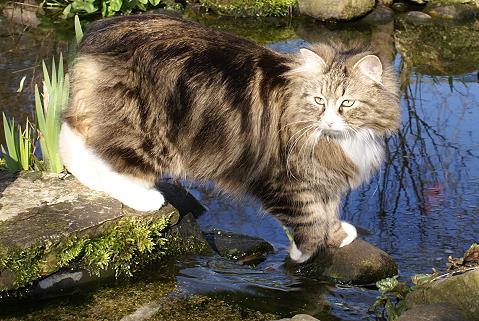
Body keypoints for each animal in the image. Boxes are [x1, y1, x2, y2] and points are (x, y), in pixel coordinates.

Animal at [58, 13, 400, 262]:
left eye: (347, 104)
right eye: (319, 101)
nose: (328, 120)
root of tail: (100, 31)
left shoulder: (323, 177)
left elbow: (328, 210)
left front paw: (338, 235)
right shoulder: (281, 178)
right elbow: (310, 217)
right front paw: (301, 252)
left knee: (74, 139)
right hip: (147, 131)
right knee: (111, 162)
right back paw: (145, 198)